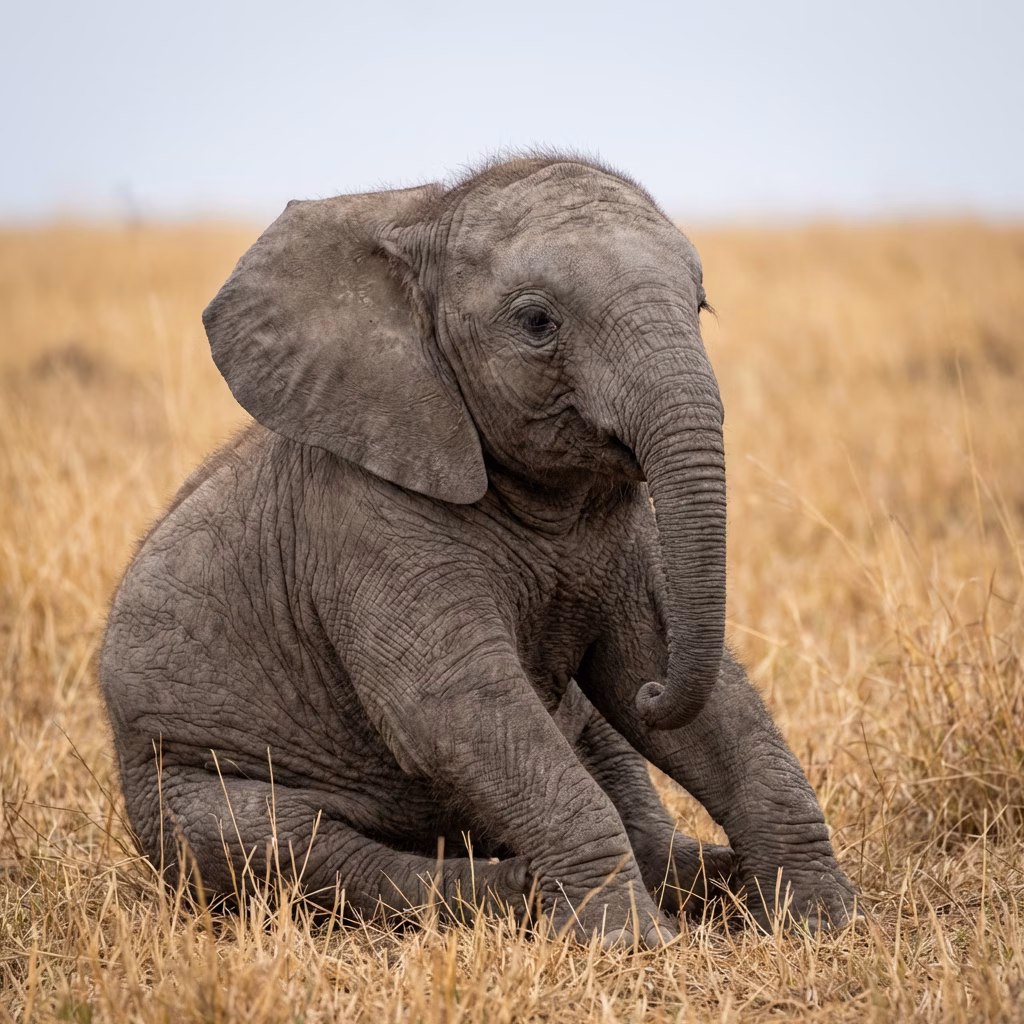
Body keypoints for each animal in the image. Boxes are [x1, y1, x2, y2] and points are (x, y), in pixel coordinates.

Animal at [99, 154, 857, 948]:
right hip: (176, 786)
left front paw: (822, 922)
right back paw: (523, 893)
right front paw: (627, 944)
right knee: (279, 842)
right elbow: (454, 705)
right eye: (536, 322)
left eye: (701, 306)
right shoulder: (361, 520)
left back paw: (699, 881)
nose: (659, 699)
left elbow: (659, 671)